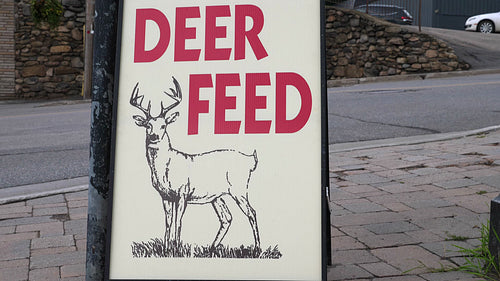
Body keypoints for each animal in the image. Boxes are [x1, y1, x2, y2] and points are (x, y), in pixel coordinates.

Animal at [129, 76, 262, 249]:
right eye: (147, 125)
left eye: (163, 125)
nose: (154, 136)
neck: (165, 169)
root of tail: (250, 160)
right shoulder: (165, 196)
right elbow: (168, 222)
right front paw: (166, 247)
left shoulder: (182, 191)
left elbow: (178, 221)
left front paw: (176, 247)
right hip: (217, 196)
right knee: (227, 218)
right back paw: (211, 248)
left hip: (238, 188)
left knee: (251, 212)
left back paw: (257, 248)